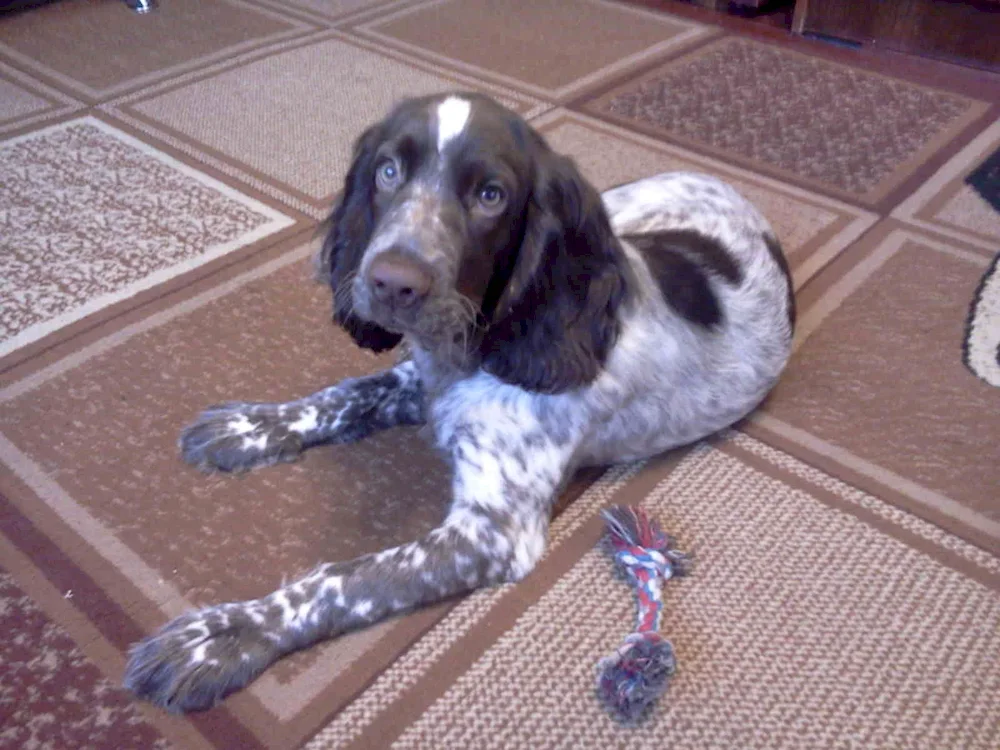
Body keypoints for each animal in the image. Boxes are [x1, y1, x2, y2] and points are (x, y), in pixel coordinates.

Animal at [125, 91, 796, 712]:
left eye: (491, 195)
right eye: (388, 171)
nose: (392, 282)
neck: (471, 352)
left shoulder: (490, 531)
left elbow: (347, 579)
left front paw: (226, 635)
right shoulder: (419, 379)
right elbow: (347, 394)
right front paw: (250, 426)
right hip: (624, 203)